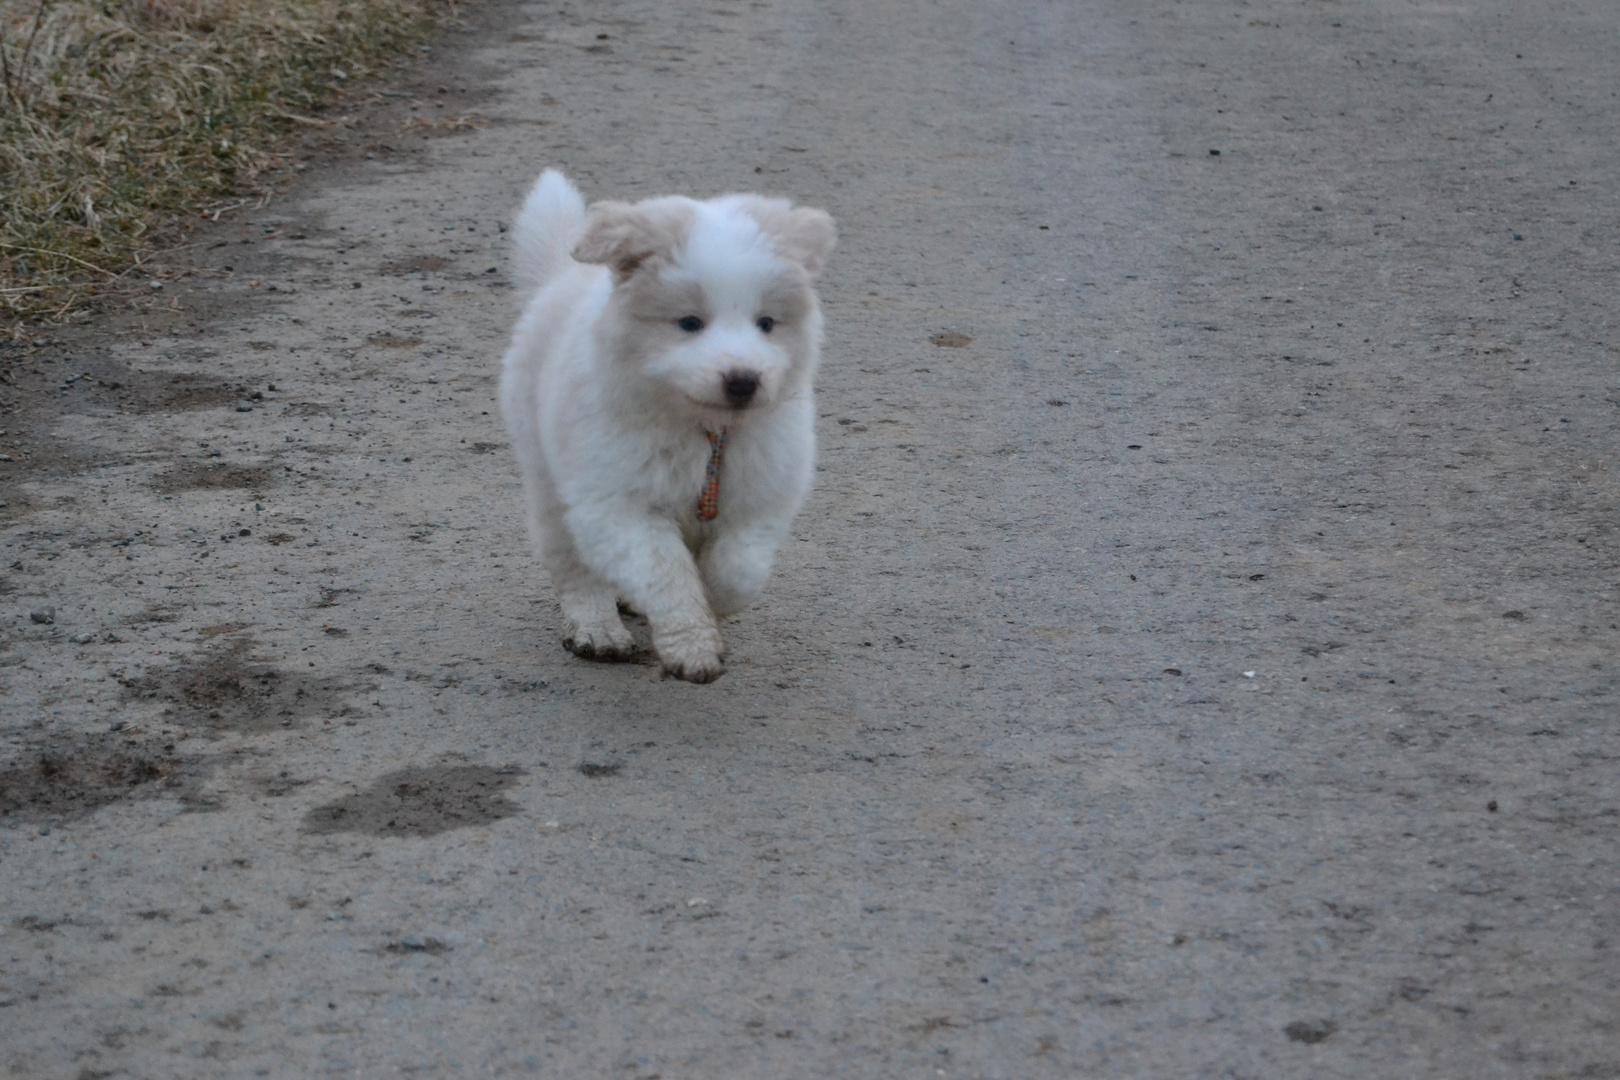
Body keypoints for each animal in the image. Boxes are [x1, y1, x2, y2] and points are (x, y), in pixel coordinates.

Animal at [498, 170, 835, 683]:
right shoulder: (618, 504)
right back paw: (596, 630)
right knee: (574, 568)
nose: (743, 381)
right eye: (689, 323)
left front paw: (713, 604)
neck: (706, 432)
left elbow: (739, 570)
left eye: (766, 323)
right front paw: (694, 648)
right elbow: (666, 572)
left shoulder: (762, 497)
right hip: (548, 482)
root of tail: (560, 280)